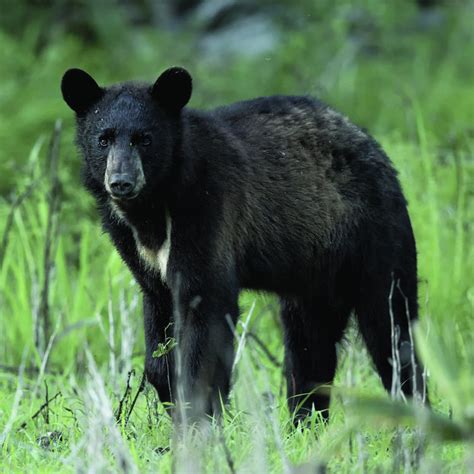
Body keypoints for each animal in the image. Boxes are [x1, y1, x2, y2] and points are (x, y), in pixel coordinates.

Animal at [60, 66, 426, 422]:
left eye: (144, 139)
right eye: (103, 138)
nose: (121, 182)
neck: (154, 206)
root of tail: (373, 144)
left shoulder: (209, 211)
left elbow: (206, 311)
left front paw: (198, 414)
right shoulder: (138, 252)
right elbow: (158, 318)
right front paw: (169, 391)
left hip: (374, 237)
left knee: (391, 328)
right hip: (315, 271)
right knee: (310, 343)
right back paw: (304, 420)